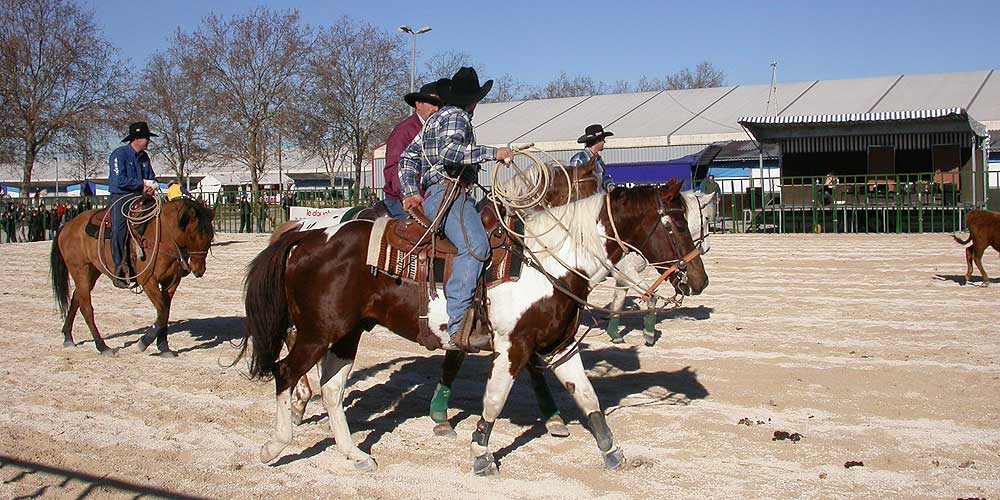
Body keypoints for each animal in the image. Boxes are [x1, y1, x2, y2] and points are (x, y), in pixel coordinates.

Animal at [49, 195, 214, 356]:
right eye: (193, 235)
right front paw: (144, 342)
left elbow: (165, 312)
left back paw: (68, 337)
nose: (199, 270)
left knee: (76, 298)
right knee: (86, 307)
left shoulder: (171, 282)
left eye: (211, 235)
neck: (164, 234)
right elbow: (162, 311)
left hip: (92, 272)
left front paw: (163, 347)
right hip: (80, 271)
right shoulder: (148, 281)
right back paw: (103, 347)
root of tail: (67, 226)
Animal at [236, 162, 704, 474]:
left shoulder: (561, 345)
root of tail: (304, 237)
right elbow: (494, 399)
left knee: (332, 389)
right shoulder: (514, 346)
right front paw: (482, 452)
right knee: (286, 371)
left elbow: (588, 399)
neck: (550, 260)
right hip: (318, 331)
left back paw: (354, 454)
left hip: (347, 332)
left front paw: (611, 452)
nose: (699, 280)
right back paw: (274, 446)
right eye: (678, 225)